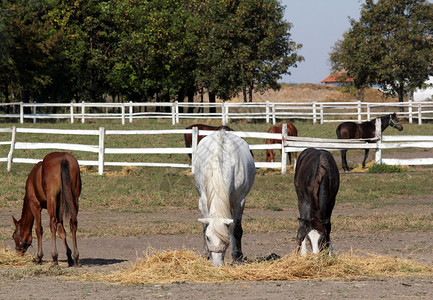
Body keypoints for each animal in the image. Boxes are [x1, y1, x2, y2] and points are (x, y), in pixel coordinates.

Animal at [192, 130, 253, 266]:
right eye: (208, 238)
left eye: (225, 239)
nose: (217, 264)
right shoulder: (204, 201)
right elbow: (205, 226)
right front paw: (206, 253)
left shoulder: (239, 201)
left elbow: (236, 230)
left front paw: (238, 257)